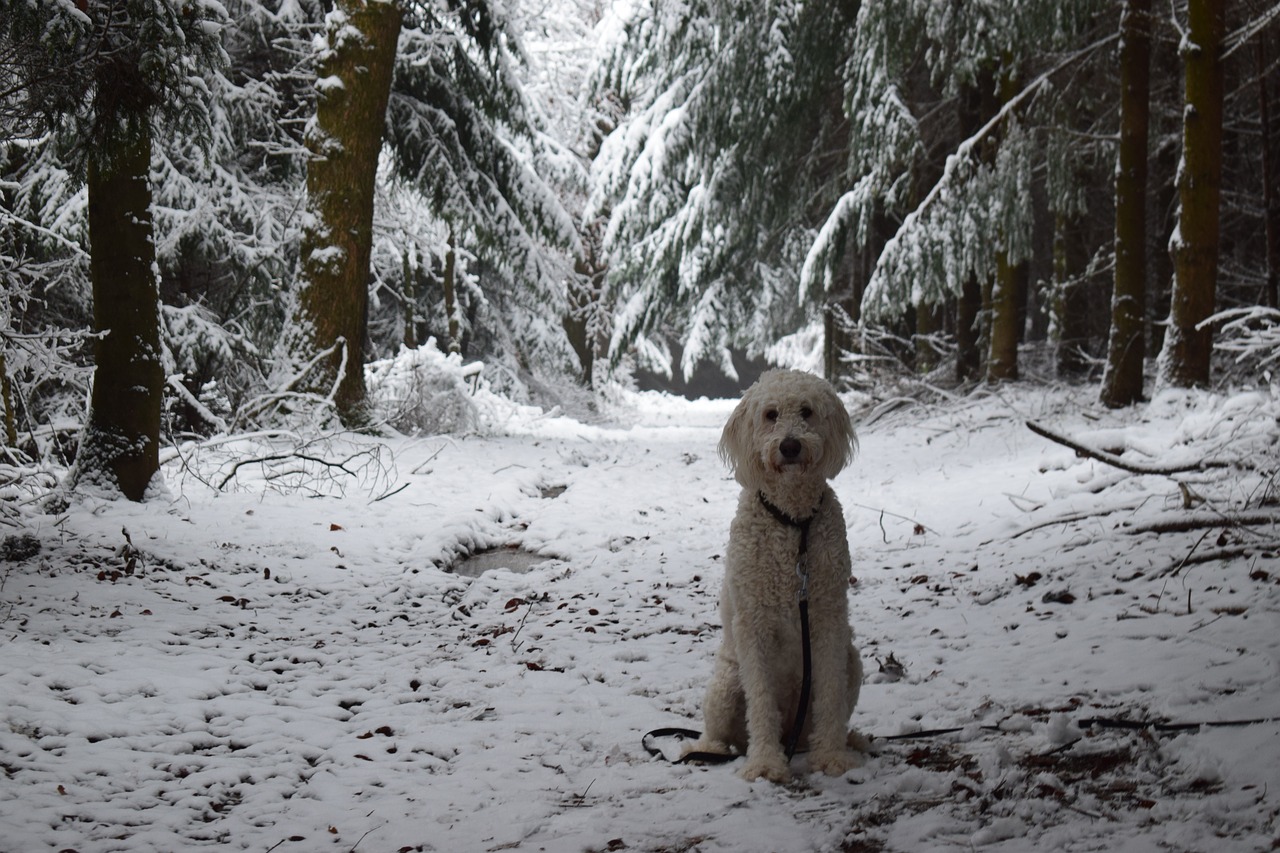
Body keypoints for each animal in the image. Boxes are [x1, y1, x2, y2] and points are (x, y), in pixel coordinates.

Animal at [680, 366, 870, 778]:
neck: (793, 523)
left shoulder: (828, 617)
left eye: (807, 411)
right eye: (770, 415)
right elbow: (762, 700)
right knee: (718, 732)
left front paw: (831, 755)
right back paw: (707, 748)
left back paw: (849, 740)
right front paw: (765, 763)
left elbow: (830, 695)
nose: (790, 446)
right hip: (726, 684)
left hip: (852, 661)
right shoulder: (753, 626)